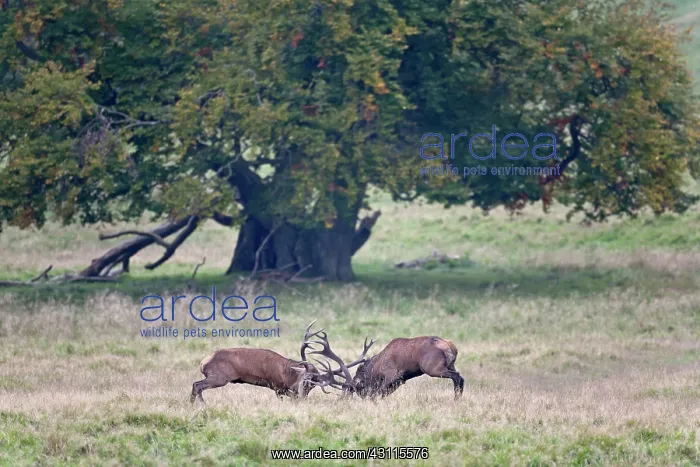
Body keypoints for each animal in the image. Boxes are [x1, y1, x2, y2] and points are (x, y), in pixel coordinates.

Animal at [190, 322, 348, 404]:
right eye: (306, 381)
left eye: (313, 386)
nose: (303, 398)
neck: (287, 375)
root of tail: (203, 363)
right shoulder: (276, 386)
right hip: (219, 377)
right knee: (197, 385)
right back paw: (202, 405)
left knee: (195, 385)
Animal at [303, 324, 464, 400]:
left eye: (357, 388)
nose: (343, 399)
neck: (376, 368)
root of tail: (451, 347)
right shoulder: (399, 380)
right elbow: (383, 393)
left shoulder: (392, 375)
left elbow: (379, 392)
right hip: (450, 364)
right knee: (459, 377)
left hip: (432, 368)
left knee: (458, 377)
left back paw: (456, 399)